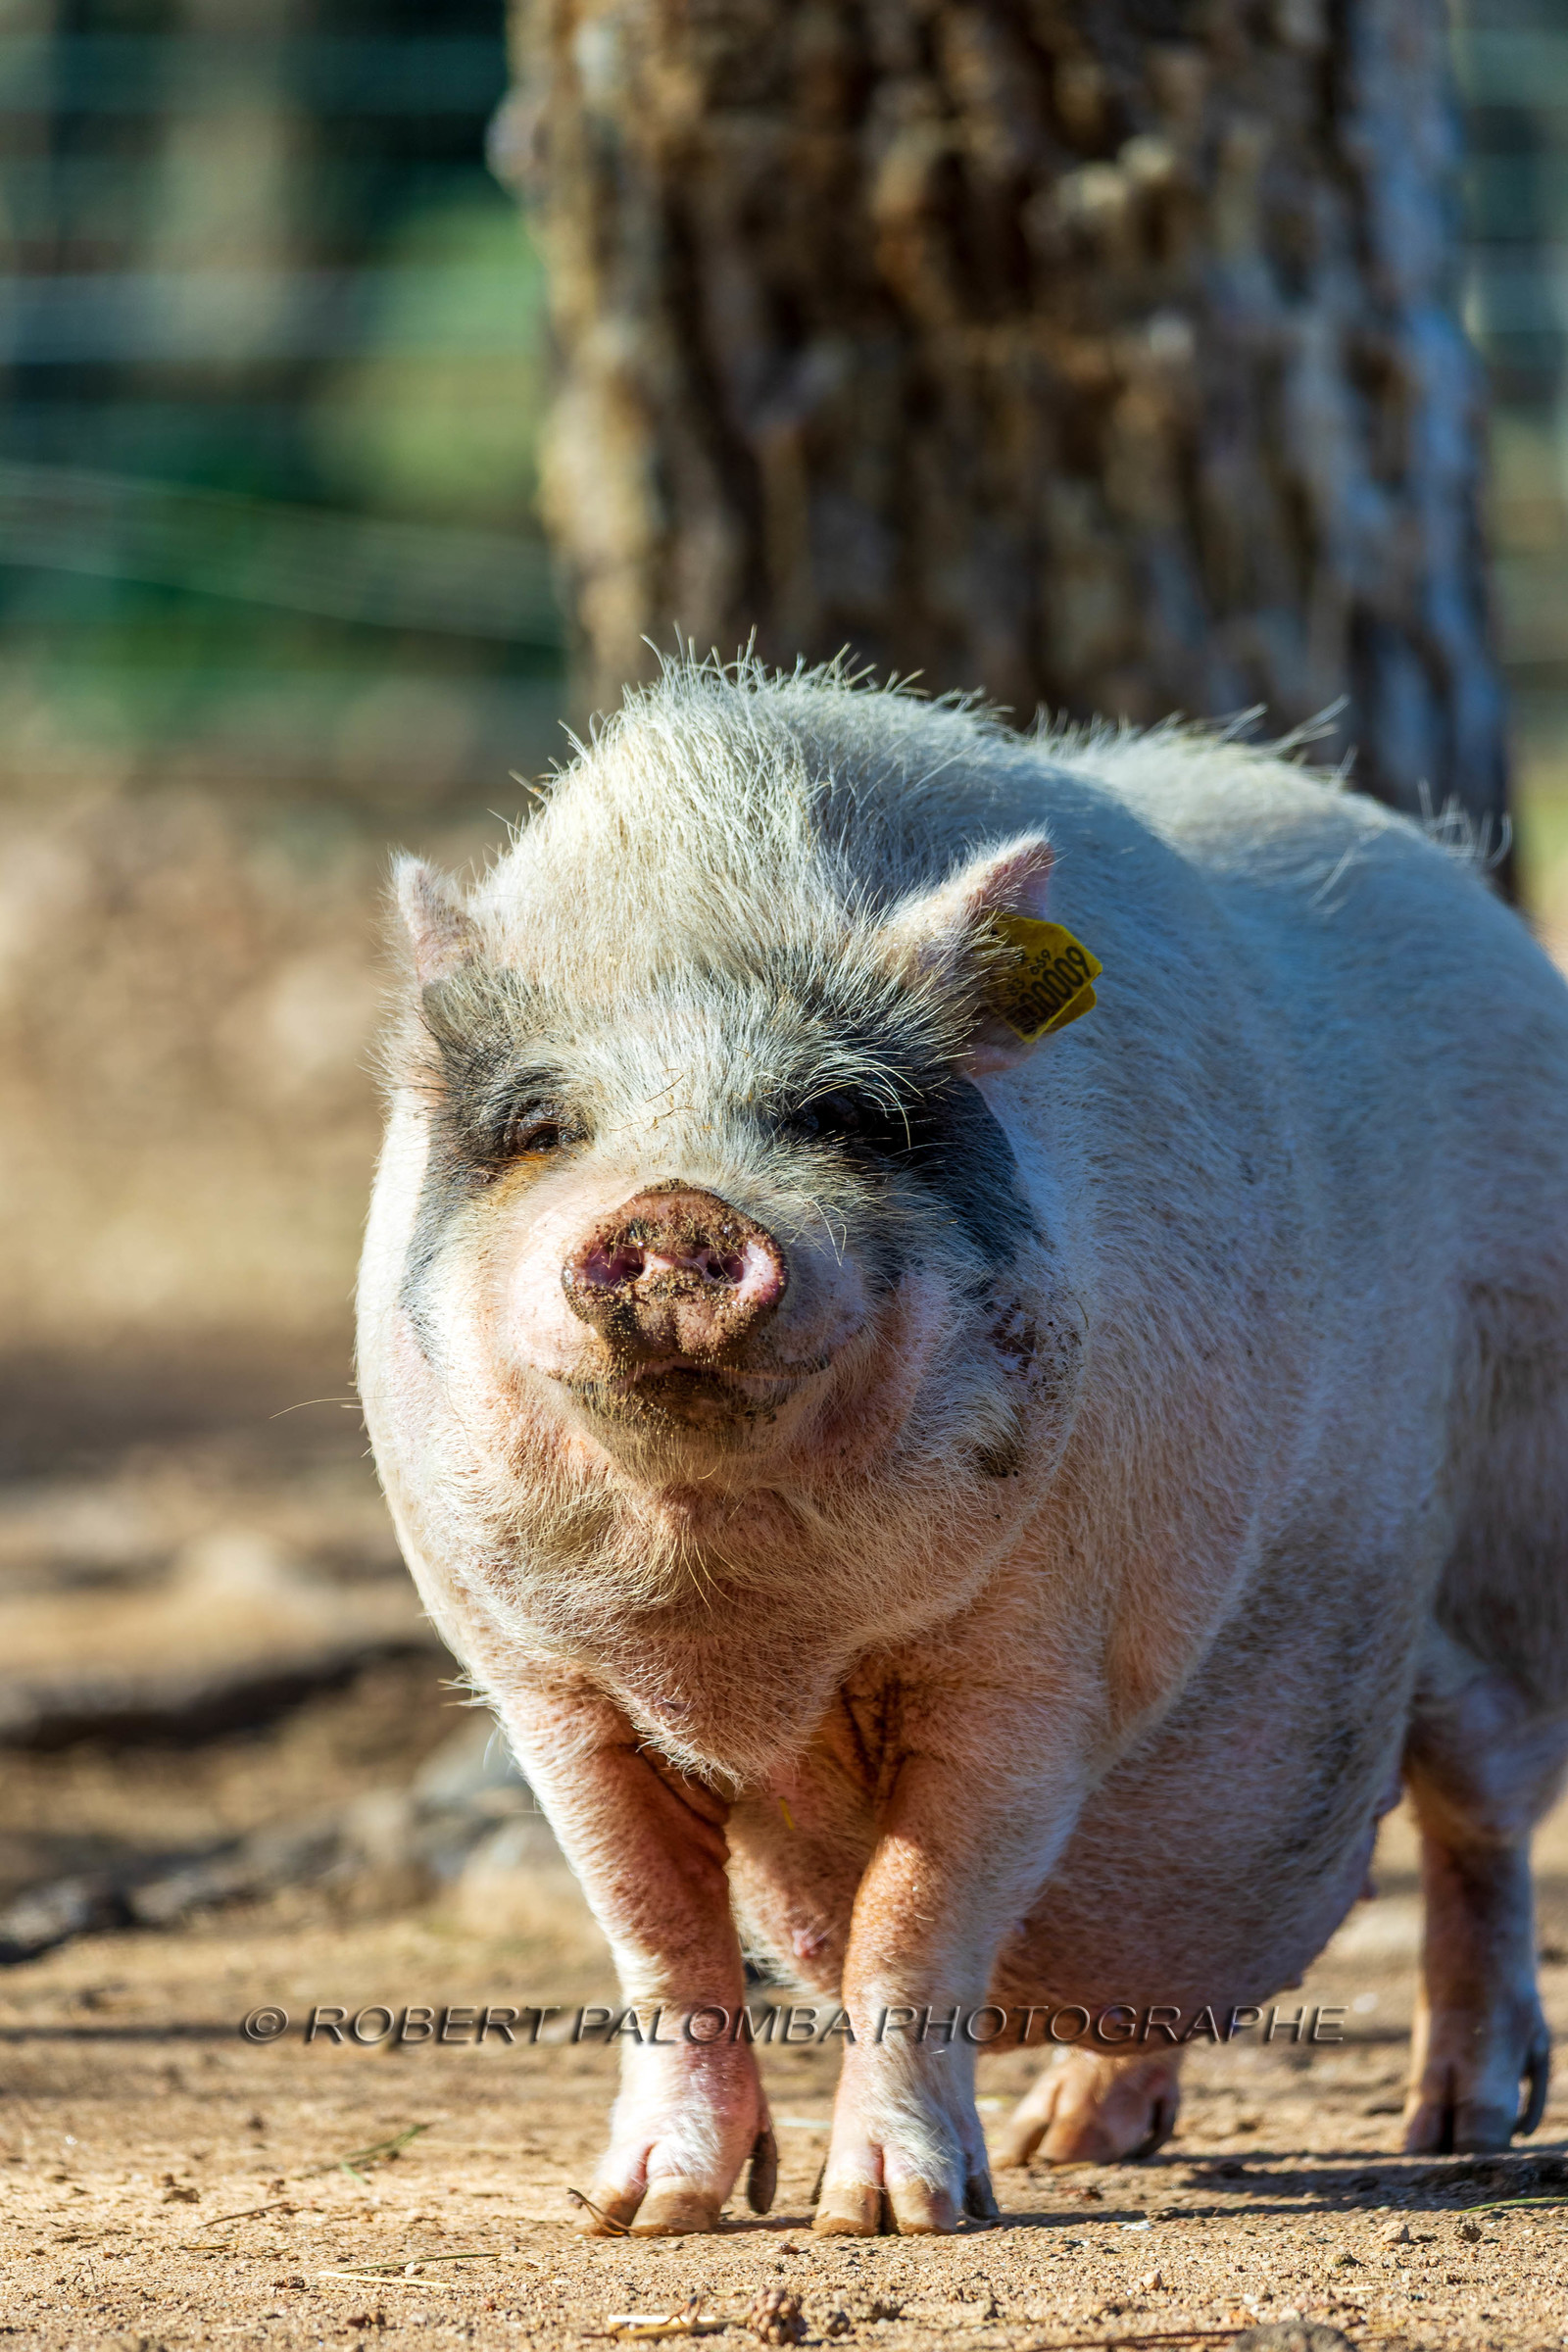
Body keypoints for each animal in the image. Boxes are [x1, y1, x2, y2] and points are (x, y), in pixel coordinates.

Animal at [357, 658, 1568, 2237]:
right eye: (544, 1124)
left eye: (846, 1116)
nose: (680, 1210)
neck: (741, 1639)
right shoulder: (543, 1683)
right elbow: (656, 1931)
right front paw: (644, 2217)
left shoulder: (1038, 1662)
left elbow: (913, 1917)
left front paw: (889, 2219)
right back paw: (1077, 2142)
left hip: (1514, 1538)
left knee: (1481, 1819)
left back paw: (1460, 2125)